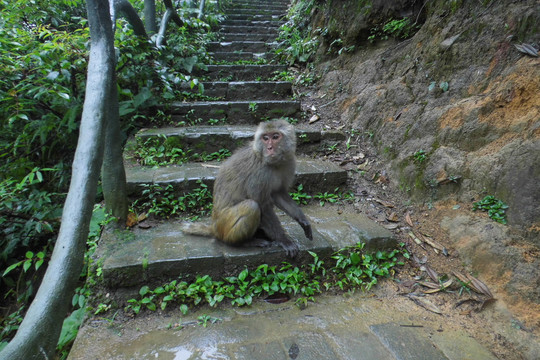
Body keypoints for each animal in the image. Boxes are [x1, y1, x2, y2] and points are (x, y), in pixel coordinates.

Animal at [184, 119, 314, 258]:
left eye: (275, 137)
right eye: (265, 138)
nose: (269, 148)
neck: (273, 163)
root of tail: (214, 227)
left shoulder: (289, 163)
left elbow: (278, 193)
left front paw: (302, 220)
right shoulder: (259, 173)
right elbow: (262, 204)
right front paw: (283, 239)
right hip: (223, 225)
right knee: (251, 206)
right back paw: (242, 243)